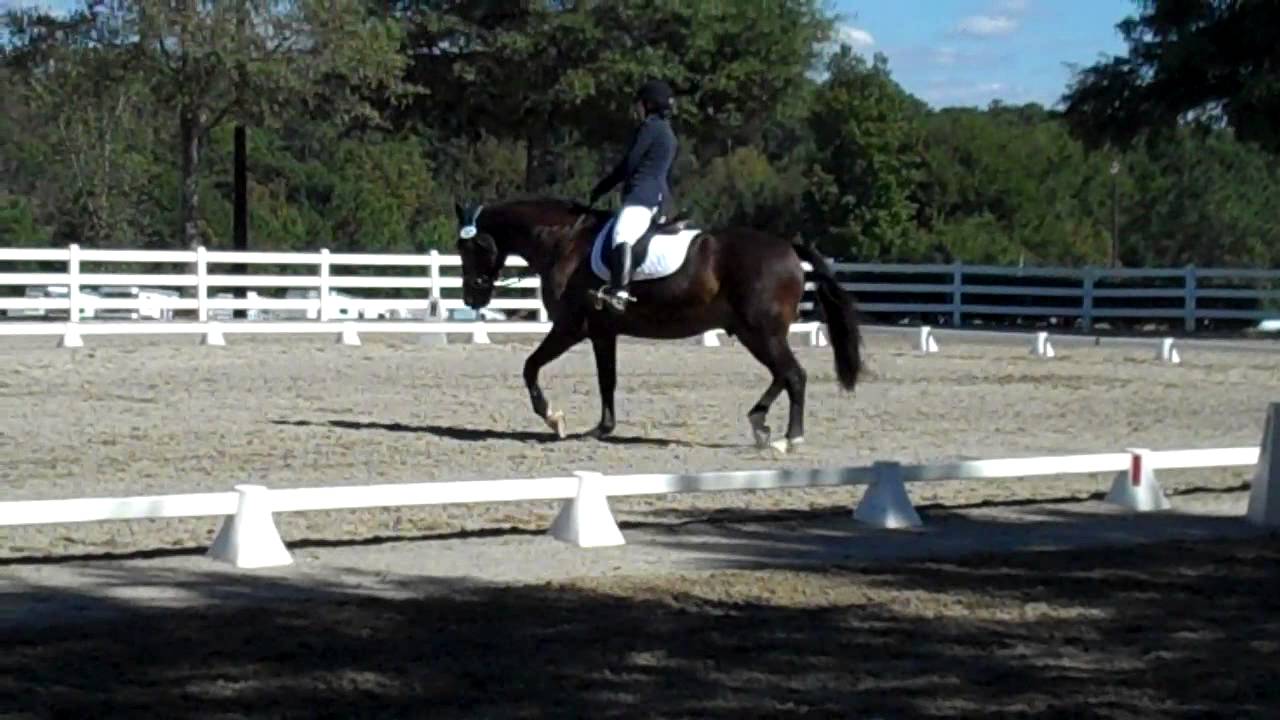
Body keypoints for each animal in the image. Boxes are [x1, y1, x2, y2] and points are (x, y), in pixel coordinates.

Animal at [448, 196, 860, 453]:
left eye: (472, 247)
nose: (472, 297)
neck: (564, 241)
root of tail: (789, 248)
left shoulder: (571, 327)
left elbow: (530, 366)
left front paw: (554, 418)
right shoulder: (602, 332)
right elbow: (607, 380)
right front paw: (602, 429)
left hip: (762, 332)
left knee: (794, 375)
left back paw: (790, 438)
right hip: (754, 333)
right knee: (783, 374)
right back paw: (759, 422)